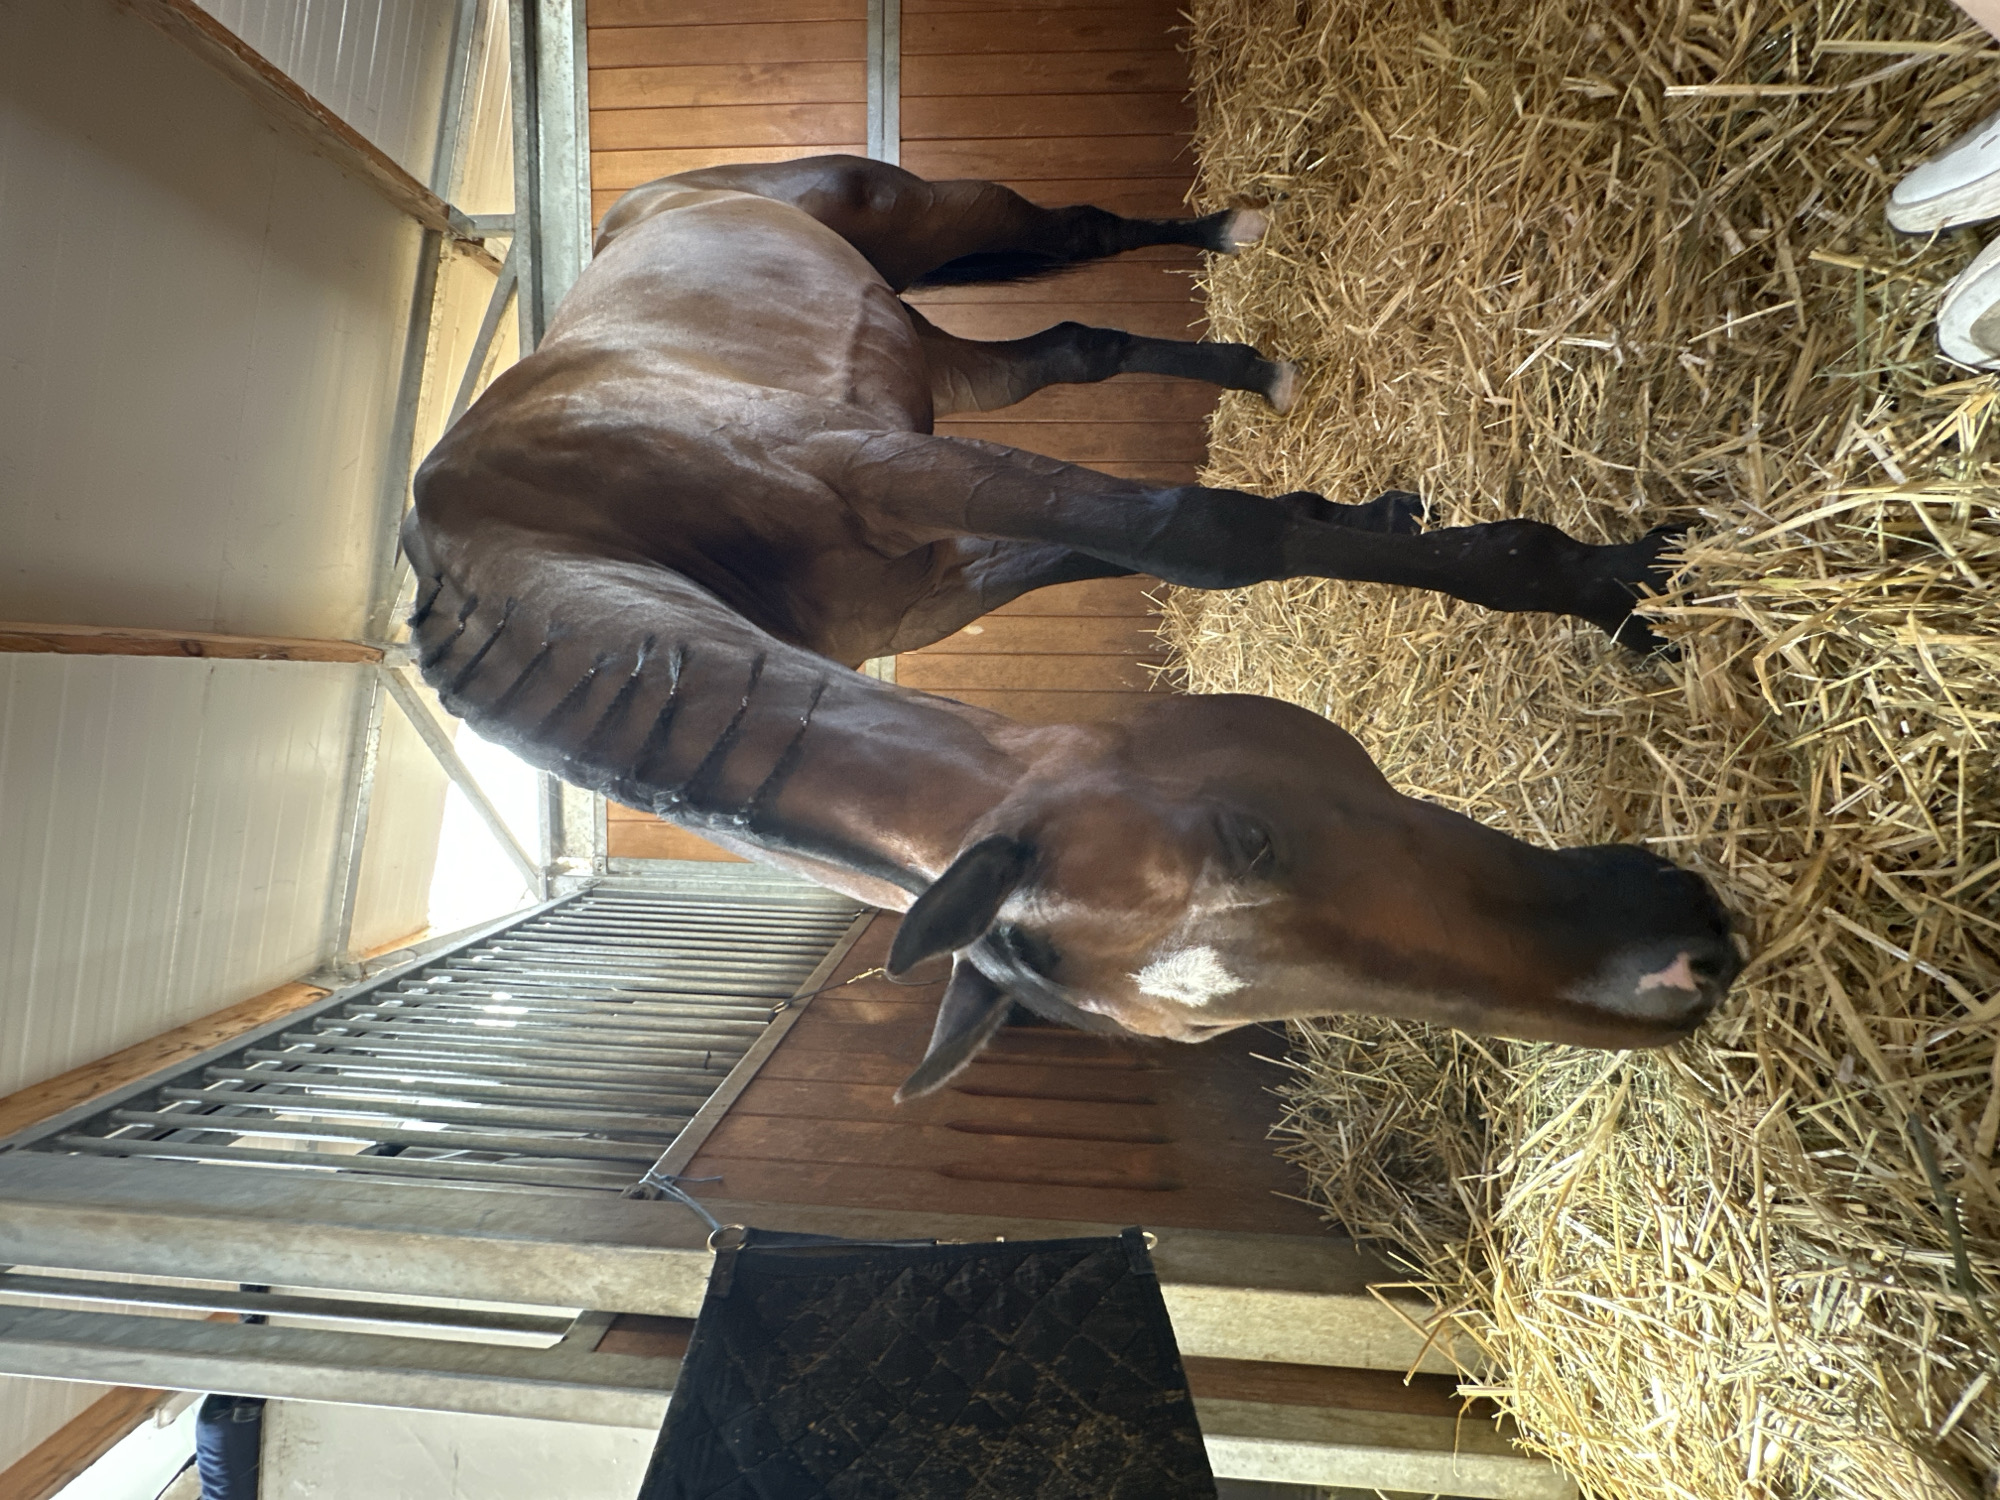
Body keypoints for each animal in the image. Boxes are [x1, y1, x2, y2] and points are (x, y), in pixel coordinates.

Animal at [403, 155, 1741, 1100]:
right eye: (1204, 1021)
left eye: (1246, 835)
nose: (1677, 971)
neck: (571, 533)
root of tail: (643, 203)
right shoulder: (944, 568)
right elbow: (1185, 540)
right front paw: (1371, 512)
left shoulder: (894, 468)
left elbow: (1205, 537)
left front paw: (1619, 588)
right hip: (946, 360)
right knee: (1069, 346)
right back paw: (1253, 367)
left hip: (906, 219)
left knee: (1074, 236)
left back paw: (1227, 239)